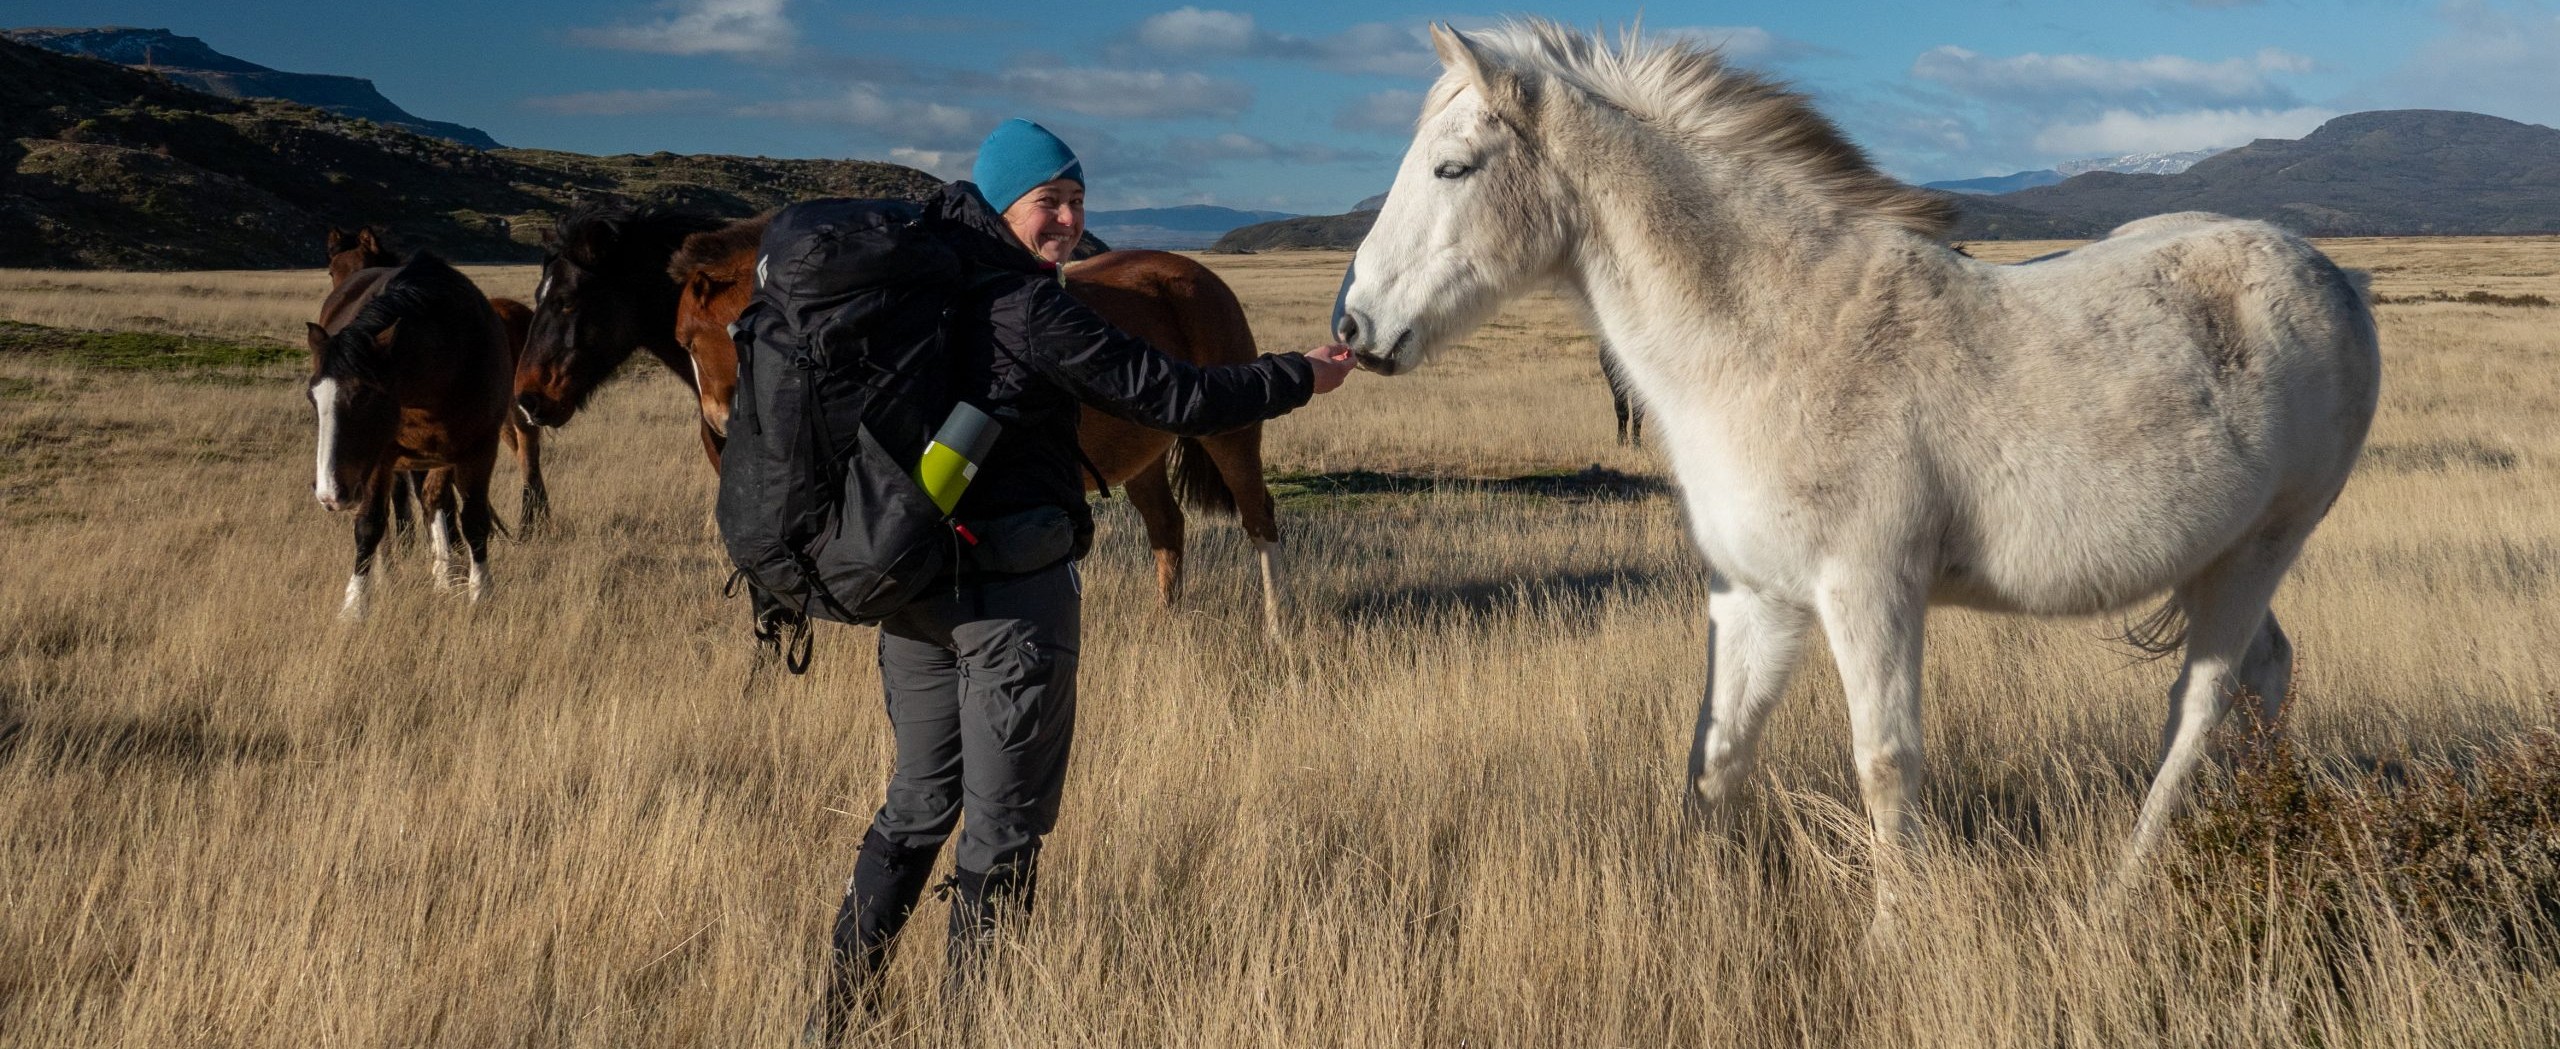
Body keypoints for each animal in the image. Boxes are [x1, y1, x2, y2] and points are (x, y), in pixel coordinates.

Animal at [307, 250, 512, 619]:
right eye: (312, 397)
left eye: (365, 394)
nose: (330, 493)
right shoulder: (380, 458)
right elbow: (369, 525)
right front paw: (354, 606)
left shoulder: (479, 449)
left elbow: (474, 519)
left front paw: (480, 594)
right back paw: (389, 577)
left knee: (434, 502)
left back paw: (446, 576)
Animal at [670, 216, 1290, 631]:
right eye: (684, 342)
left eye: (703, 338)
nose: (718, 426)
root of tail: (1199, 278)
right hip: (1144, 455)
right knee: (1168, 528)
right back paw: (1167, 623)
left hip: (1230, 436)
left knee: (1259, 519)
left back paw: (1277, 628)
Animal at [1331, 22, 2385, 910]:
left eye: (1453, 167)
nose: (1353, 328)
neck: (1776, 331)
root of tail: (2337, 277)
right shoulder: (1755, 597)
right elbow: (1716, 755)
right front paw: (1694, 902)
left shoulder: (1870, 590)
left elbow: (1884, 762)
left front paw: (1892, 932)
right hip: (2219, 556)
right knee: (2268, 673)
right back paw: (2268, 832)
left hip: (2264, 548)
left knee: (2200, 704)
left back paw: (2119, 894)